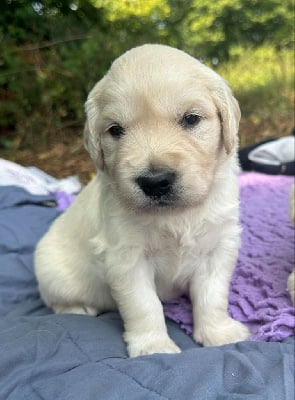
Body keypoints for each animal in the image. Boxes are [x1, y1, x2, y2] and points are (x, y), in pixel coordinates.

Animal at [35, 44, 252, 356]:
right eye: (115, 130)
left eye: (191, 118)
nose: (155, 181)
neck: (177, 214)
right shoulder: (126, 258)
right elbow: (144, 305)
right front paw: (154, 346)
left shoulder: (219, 246)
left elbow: (212, 295)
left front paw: (219, 332)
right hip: (52, 273)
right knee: (57, 302)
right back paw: (79, 309)